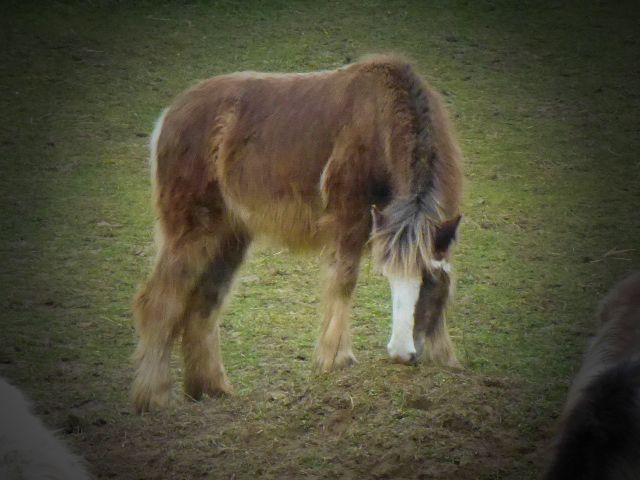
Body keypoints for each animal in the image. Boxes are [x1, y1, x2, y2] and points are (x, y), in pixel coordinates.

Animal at [131, 54, 460, 410]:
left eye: (429, 280)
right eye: (388, 279)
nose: (402, 355)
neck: (380, 116)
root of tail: (171, 114)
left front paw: (445, 357)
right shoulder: (348, 219)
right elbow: (344, 280)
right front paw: (336, 358)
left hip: (229, 237)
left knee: (204, 304)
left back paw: (211, 388)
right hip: (192, 230)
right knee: (159, 301)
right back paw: (154, 395)